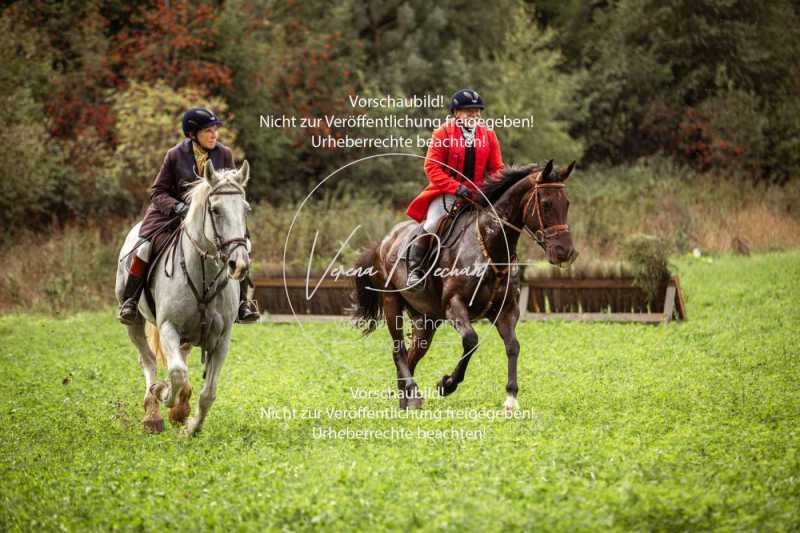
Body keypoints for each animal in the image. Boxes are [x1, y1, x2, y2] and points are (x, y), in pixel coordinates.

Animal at [115, 160, 252, 434]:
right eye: (215, 210)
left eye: (245, 210)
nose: (239, 264)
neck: (203, 275)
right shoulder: (169, 327)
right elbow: (176, 372)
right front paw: (163, 392)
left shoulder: (221, 339)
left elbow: (208, 392)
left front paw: (191, 428)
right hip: (134, 324)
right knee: (149, 361)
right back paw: (153, 414)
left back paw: (181, 409)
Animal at [350, 160, 576, 410]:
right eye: (546, 204)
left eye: (566, 203)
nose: (565, 252)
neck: (490, 246)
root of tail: (384, 241)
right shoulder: (454, 305)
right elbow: (471, 341)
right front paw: (446, 384)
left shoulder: (506, 310)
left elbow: (513, 345)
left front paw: (511, 398)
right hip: (392, 303)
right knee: (398, 352)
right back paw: (414, 394)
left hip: (426, 319)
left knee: (412, 356)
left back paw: (406, 402)